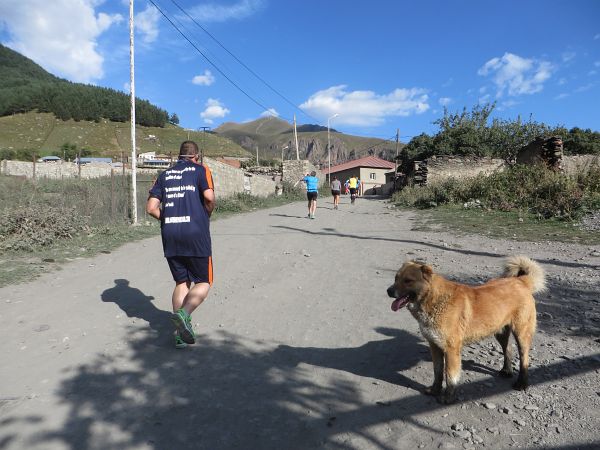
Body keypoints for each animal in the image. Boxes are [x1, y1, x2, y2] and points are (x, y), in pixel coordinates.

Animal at [386, 255, 548, 402]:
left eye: (408, 280)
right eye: (396, 278)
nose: (388, 291)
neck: (433, 299)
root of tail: (520, 281)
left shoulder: (451, 349)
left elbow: (450, 376)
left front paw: (448, 398)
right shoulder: (435, 346)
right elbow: (437, 372)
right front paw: (435, 390)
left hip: (521, 333)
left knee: (524, 359)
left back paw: (522, 383)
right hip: (500, 332)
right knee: (507, 349)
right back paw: (506, 371)